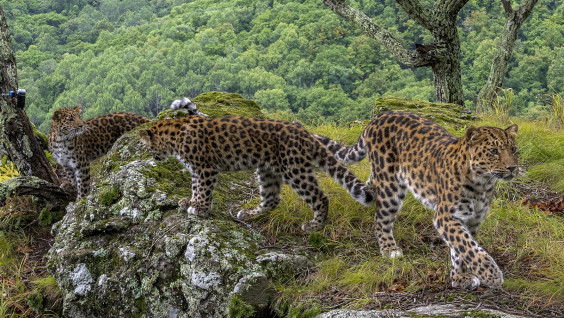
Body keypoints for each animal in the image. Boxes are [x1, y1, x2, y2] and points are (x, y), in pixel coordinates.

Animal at [138, 115, 374, 234]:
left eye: (147, 146)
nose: (153, 157)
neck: (173, 138)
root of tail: (304, 132)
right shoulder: (196, 169)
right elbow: (196, 187)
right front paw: (191, 201)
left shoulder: (205, 167)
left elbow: (203, 189)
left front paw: (200, 209)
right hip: (268, 169)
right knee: (271, 199)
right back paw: (248, 213)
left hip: (294, 168)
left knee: (320, 197)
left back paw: (314, 226)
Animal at [316, 111, 524, 288]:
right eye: (493, 150)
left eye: (514, 149)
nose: (512, 168)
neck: (482, 183)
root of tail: (381, 116)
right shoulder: (446, 216)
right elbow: (466, 245)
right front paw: (491, 274)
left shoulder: (472, 219)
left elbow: (461, 249)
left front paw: (459, 277)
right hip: (391, 184)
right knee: (381, 217)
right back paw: (389, 250)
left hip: (381, 178)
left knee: (370, 186)